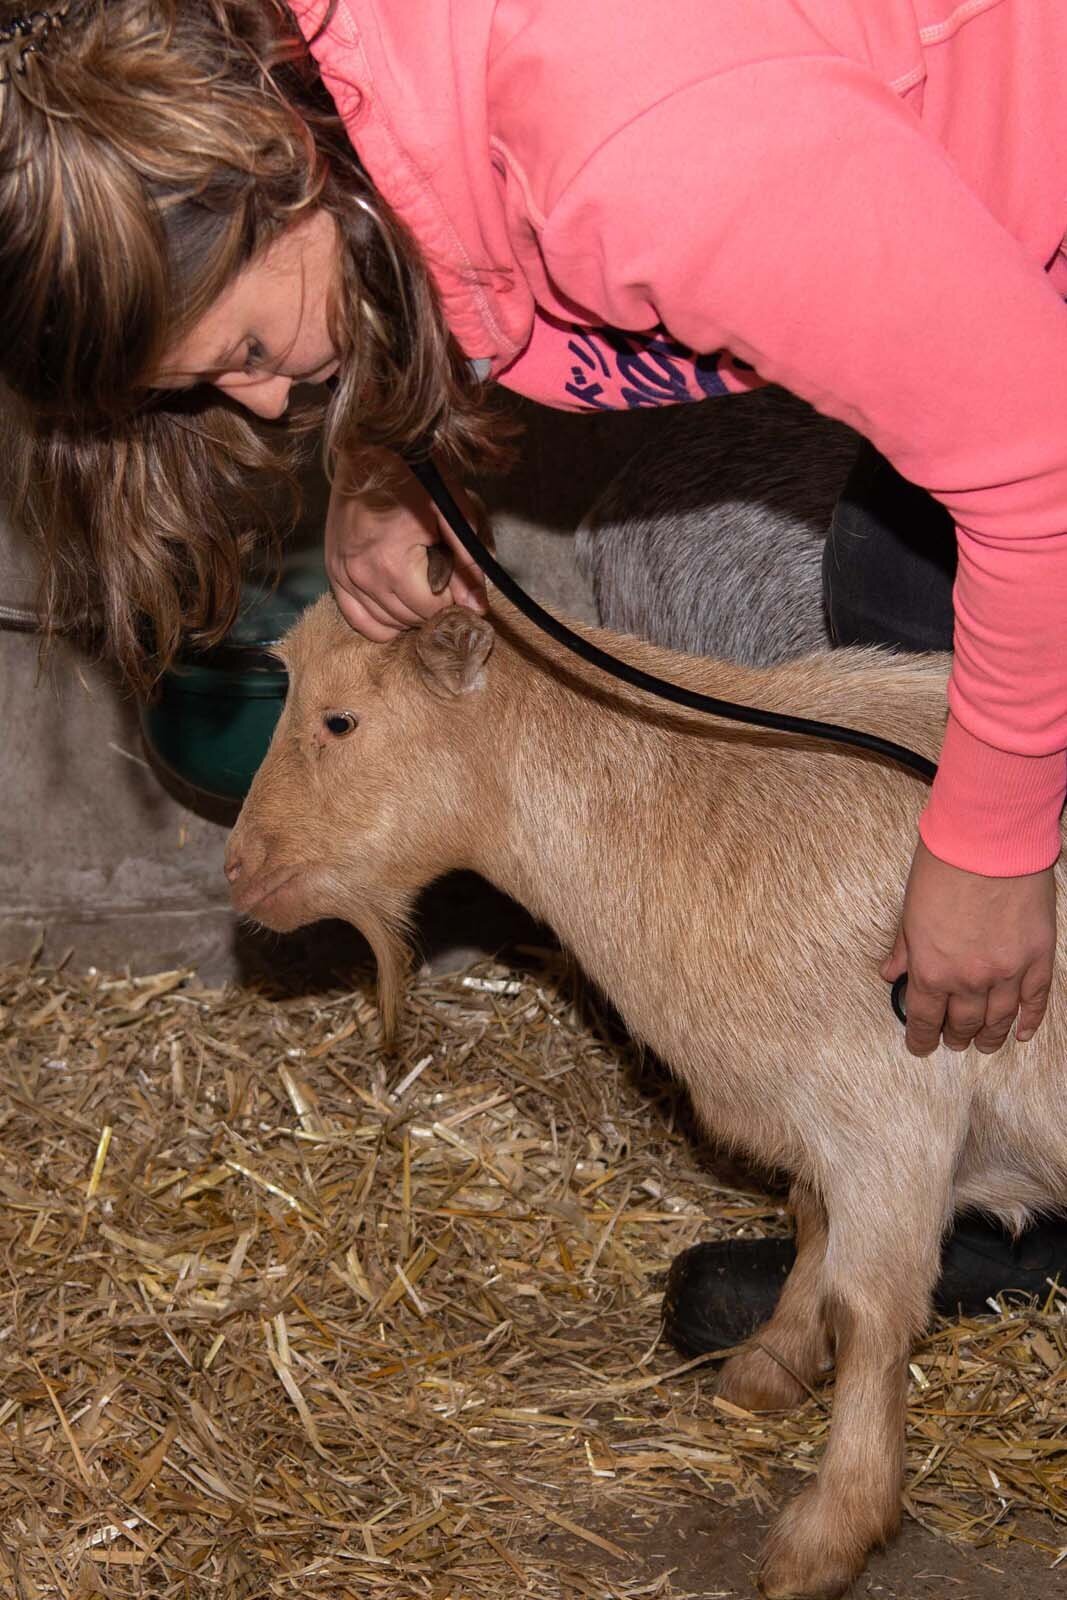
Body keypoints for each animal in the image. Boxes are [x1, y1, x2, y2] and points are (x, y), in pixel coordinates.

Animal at [227, 598, 1067, 1600]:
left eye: (339, 720)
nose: (238, 868)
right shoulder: (823, 1111)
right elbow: (810, 1216)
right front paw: (770, 1366)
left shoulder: (886, 1111)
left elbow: (870, 1310)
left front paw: (828, 1532)